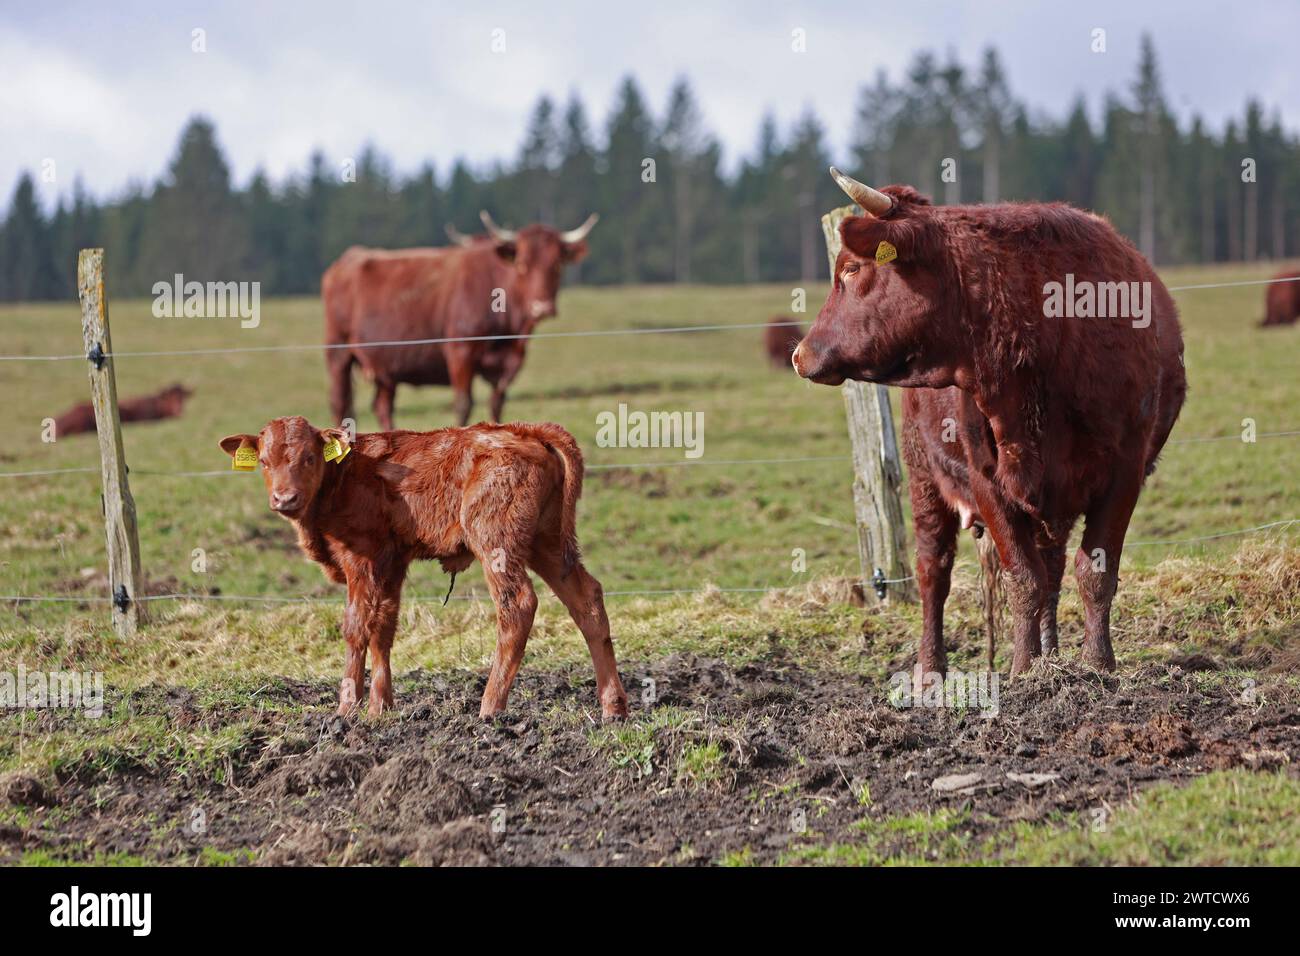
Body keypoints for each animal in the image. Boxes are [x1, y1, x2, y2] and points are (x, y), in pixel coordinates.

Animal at [218, 416, 628, 721]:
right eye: (264, 461)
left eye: (308, 457)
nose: (284, 498)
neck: (343, 475)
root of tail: (526, 430)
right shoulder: (391, 562)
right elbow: (383, 627)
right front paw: (380, 707)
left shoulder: (361, 560)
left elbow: (356, 627)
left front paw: (347, 708)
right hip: (548, 543)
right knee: (586, 600)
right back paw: (613, 708)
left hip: (497, 544)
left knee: (518, 605)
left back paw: (489, 708)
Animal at [322, 211, 598, 430]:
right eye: (522, 264)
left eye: (557, 265)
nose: (542, 308)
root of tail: (348, 258)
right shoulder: (460, 352)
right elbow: (464, 403)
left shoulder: (508, 364)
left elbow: (496, 404)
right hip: (339, 353)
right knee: (339, 403)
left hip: (385, 364)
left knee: (382, 407)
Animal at [793, 168, 1186, 678]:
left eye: (851, 270)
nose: (800, 353)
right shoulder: (988, 481)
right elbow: (1022, 578)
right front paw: (1023, 670)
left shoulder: (1125, 471)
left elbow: (1093, 573)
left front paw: (1096, 665)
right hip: (923, 476)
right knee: (933, 572)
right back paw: (931, 668)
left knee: (1053, 565)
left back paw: (1051, 651)